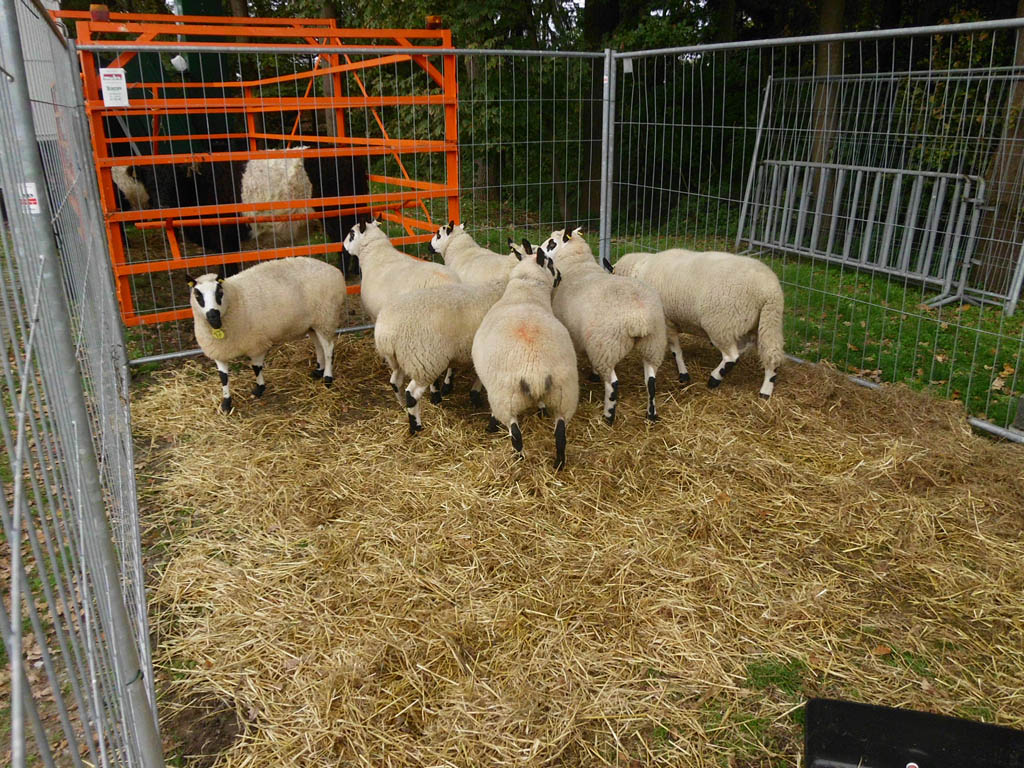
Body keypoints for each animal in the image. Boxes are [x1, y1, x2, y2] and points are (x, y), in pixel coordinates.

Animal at [187, 256, 347, 413]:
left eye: (219, 292)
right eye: (197, 295)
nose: (213, 315)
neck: (235, 298)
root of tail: (334, 270)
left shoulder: (257, 344)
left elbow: (256, 368)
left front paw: (259, 389)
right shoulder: (219, 351)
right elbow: (223, 377)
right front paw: (226, 403)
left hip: (326, 317)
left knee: (328, 348)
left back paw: (327, 377)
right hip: (313, 323)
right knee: (319, 345)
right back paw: (319, 371)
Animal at [374, 278, 508, 434]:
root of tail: (385, 335)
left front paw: (474, 394)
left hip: (401, 360)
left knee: (395, 381)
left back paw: (402, 405)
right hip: (424, 361)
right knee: (412, 394)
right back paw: (416, 426)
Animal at [472, 241, 578, 470]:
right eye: (551, 263)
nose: (561, 275)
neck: (525, 292)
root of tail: (535, 371)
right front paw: (540, 410)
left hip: (505, 398)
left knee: (516, 435)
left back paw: (517, 461)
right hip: (564, 395)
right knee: (560, 435)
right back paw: (559, 463)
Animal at [536, 228, 666, 424]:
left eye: (552, 243)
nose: (538, 250)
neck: (578, 264)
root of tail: (639, 319)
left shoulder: (577, 332)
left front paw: (593, 375)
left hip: (606, 347)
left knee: (613, 384)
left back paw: (609, 416)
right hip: (653, 344)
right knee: (651, 381)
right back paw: (651, 414)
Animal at [612, 248, 785, 398]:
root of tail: (771, 292)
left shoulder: (667, 321)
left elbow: (676, 350)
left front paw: (683, 374)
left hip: (721, 324)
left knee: (732, 356)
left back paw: (714, 379)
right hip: (767, 322)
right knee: (770, 354)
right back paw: (765, 391)